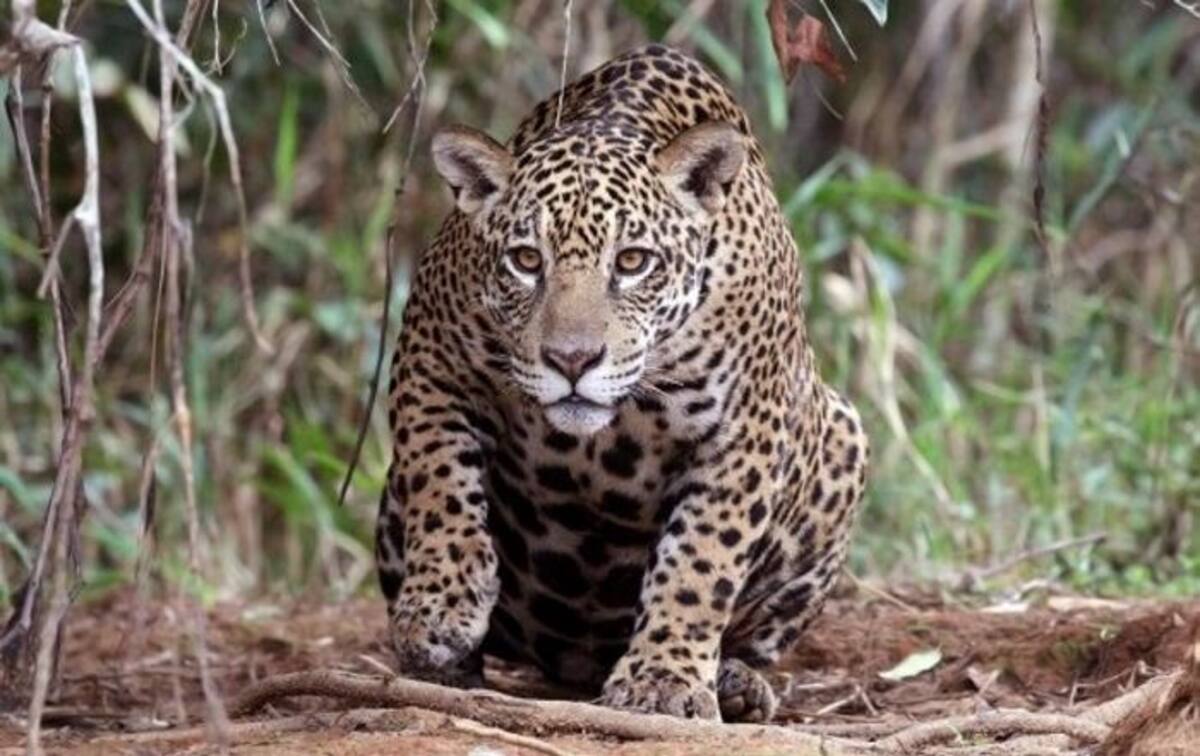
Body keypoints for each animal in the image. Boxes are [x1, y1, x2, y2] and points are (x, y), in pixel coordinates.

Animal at [375, 43, 868, 723]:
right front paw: (439, 608)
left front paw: (663, 678)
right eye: (526, 261)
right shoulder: (430, 356)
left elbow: (701, 559)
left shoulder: (746, 429)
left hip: (843, 439)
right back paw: (446, 668)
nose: (572, 359)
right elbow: (439, 479)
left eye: (633, 262)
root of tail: (575, 662)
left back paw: (735, 683)